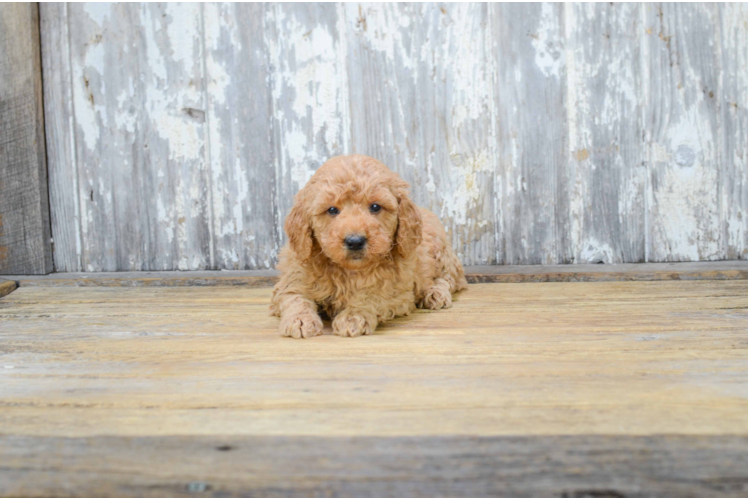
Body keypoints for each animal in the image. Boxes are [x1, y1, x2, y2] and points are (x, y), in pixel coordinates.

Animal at [268, 154, 468, 338]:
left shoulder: (395, 289)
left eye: (375, 207)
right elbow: (294, 297)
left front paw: (353, 316)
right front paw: (300, 319)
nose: (355, 241)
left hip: (441, 251)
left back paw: (435, 293)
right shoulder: (293, 277)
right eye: (332, 210)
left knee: (449, 278)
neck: (349, 271)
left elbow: (371, 295)